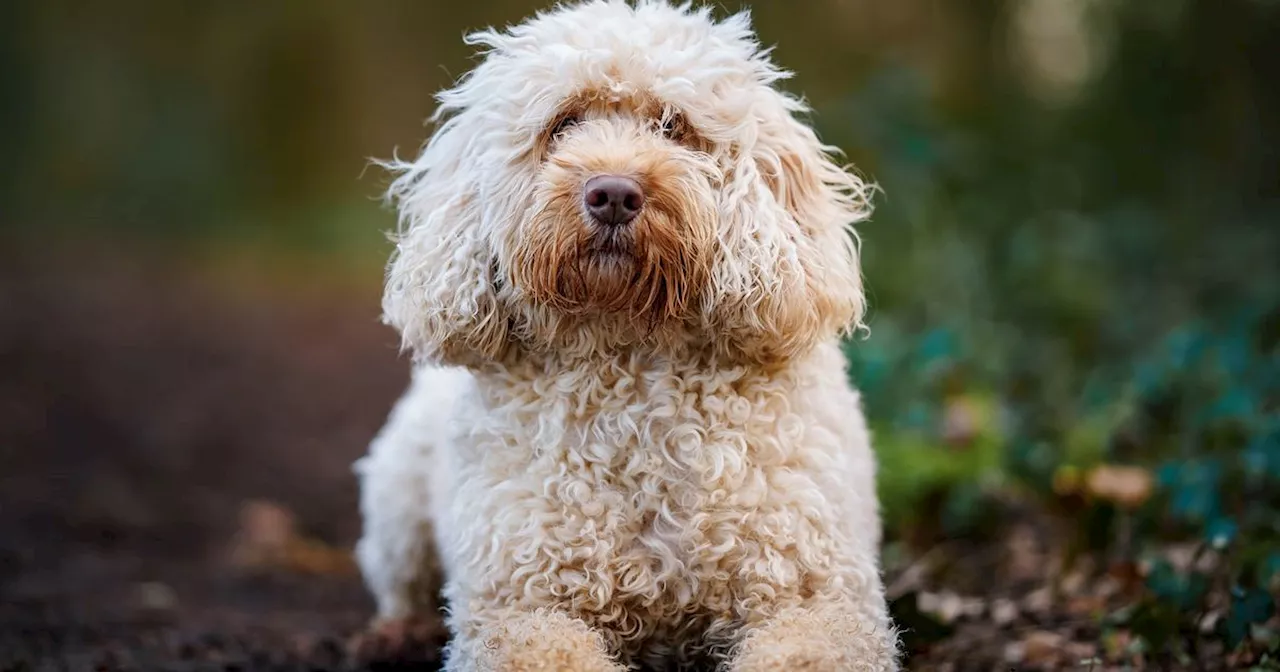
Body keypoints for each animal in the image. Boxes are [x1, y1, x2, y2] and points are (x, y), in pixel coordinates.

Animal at [355, 2, 901, 665]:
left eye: (673, 125)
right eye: (562, 124)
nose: (613, 193)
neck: (631, 358)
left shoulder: (817, 596)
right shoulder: (519, 606)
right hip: (398, 501)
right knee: (399, 582)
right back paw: (395, 633)